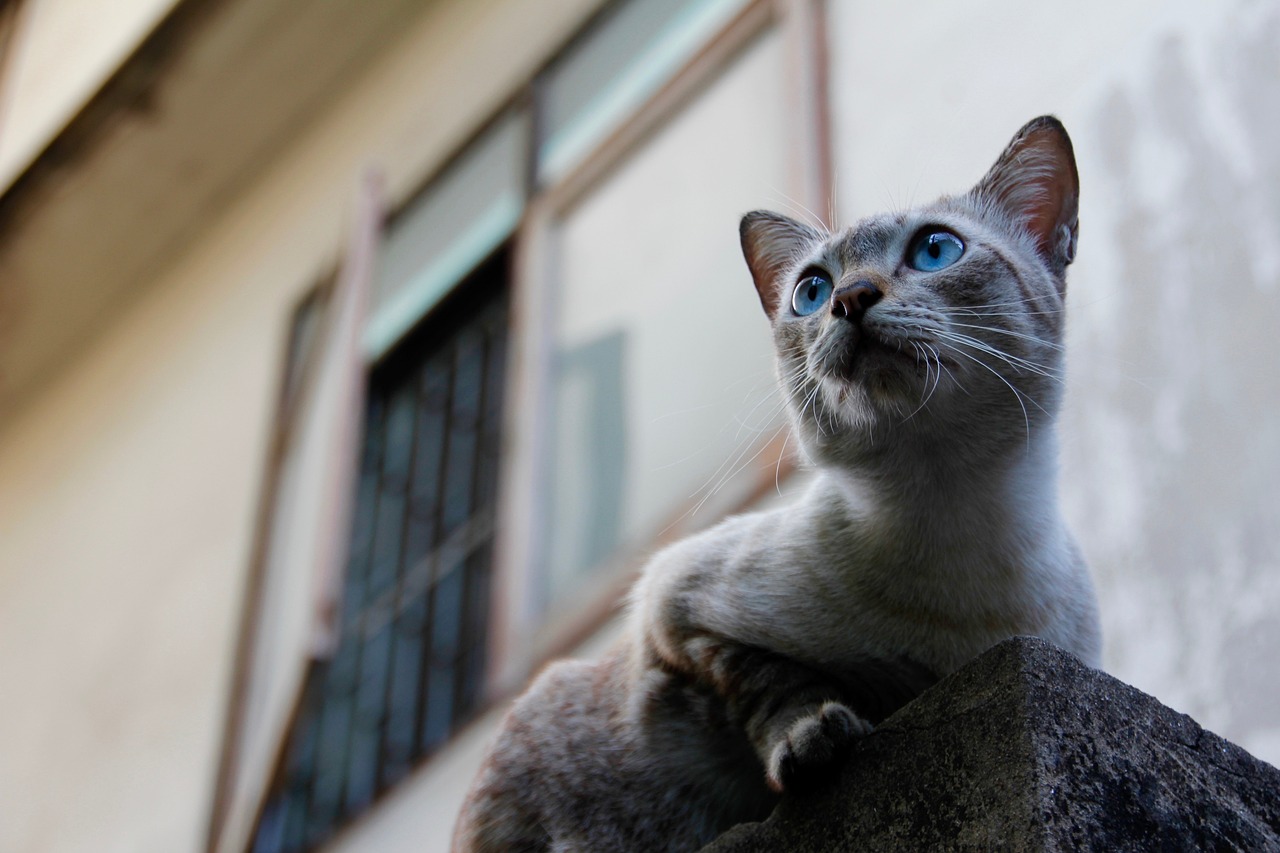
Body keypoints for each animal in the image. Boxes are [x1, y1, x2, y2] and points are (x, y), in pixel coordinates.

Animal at [450, 114, 1100, 850]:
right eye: (810, 290)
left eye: (936, 249)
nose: (850, 299)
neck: (950, 520)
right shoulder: (677, 612)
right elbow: (774, 684)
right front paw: (815, 738)